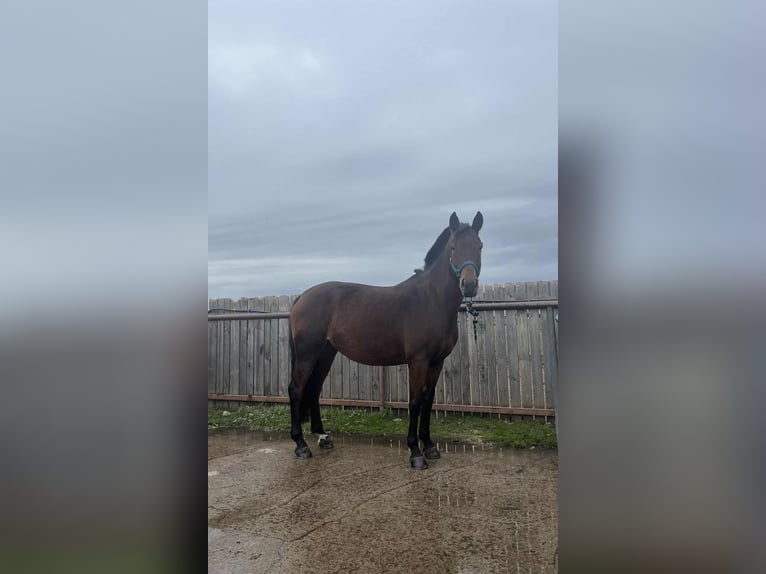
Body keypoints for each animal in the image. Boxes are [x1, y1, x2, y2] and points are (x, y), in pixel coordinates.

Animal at [288, 211, 484, 469]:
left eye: (480, 246)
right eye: (453, 247)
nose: (469, 285)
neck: (431, 301)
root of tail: (303, 296)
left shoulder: (436, 362)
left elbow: (428, 401)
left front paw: (430, 446)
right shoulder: (418, 361)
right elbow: (415, 402)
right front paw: (415, 453)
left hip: (326, 353)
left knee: (314, 389)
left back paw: (323, 437)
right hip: (307, 354)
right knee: (296, 390)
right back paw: (300, 445)